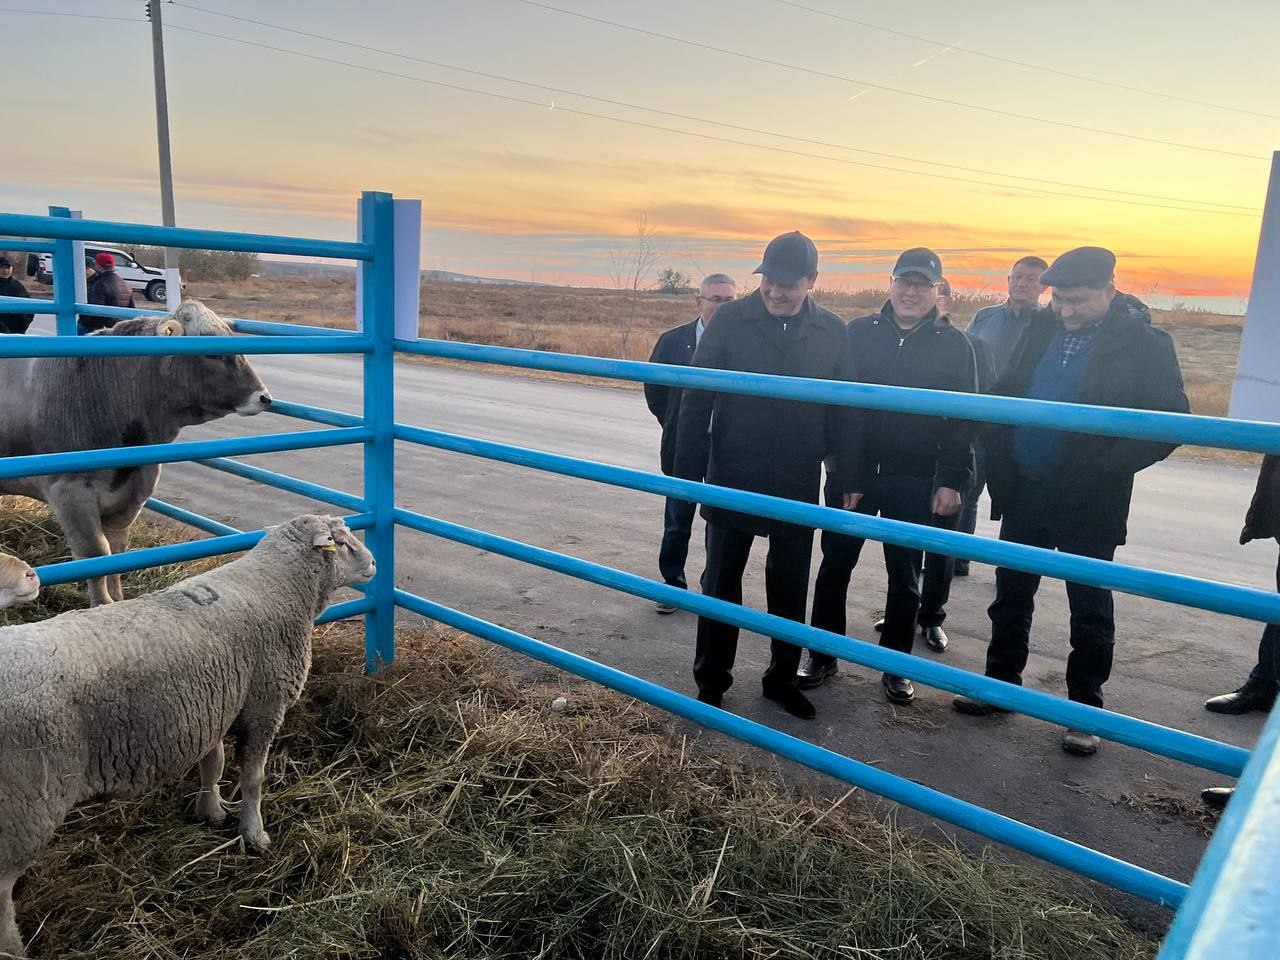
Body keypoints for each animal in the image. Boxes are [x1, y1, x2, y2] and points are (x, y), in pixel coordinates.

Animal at [0, 300, 270, 604]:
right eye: (211, 352)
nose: (264, 397)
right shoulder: (70, 494)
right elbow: (96, 555)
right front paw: (102, 604)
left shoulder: (130, 496)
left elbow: (116, 553)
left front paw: (117, 599)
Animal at [0, 514, 376, 957]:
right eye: (340, 541)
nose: (374, 563)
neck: (278, 584)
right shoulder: (264, 705)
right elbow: (253, 779)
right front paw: (254, 834)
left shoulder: (213, 704)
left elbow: (213, 764)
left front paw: (210, 810)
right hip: (25, 804)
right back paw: (14, 949)